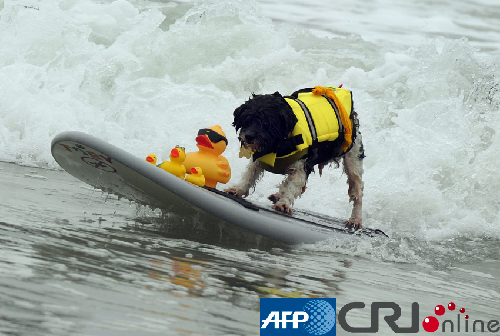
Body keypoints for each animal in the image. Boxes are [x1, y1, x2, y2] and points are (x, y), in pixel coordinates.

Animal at [225, 85, 366, 230]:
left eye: (266, 122)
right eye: (247, 119)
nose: (248, 136)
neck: (279, 143)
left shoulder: (301, 166)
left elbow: (292, 184)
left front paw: (284, 203)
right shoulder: (259, 159)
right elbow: (249, 175)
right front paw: (237, 189)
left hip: (353, 156)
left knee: (358, 188)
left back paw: (355, 219)